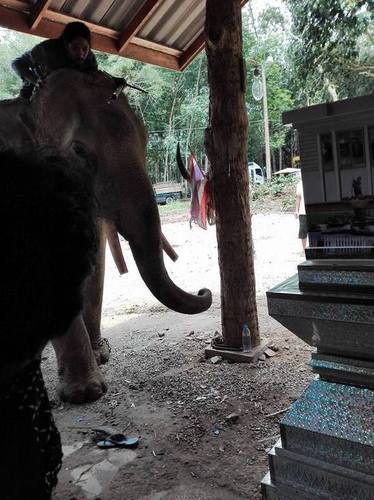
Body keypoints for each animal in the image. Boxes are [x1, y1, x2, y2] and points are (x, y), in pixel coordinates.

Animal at [0, 68, 212, 402]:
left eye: (145, 138)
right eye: (78, 151)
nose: (205, 291)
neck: (24, 108)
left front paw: (100, 358)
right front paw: (86, 393)